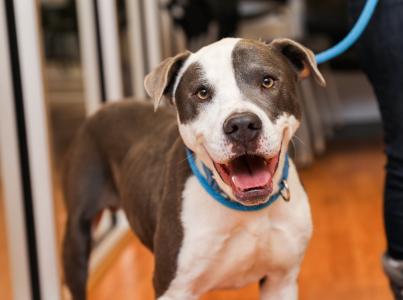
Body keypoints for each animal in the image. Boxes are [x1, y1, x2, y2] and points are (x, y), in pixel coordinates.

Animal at [63, 38, 326, 300]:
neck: (247, 210)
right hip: (77, 238)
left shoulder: (281, 281)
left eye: (267, 81)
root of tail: (104, 107)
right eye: (202, 93)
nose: (241, 124)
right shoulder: (174, 289)